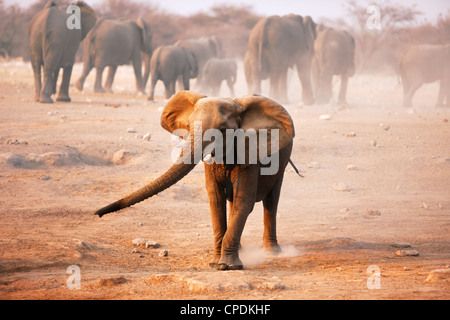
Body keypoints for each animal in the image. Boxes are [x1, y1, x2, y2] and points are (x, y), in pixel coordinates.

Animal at [95, 91, 296, 272]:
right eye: (189, 125)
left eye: (223, 130)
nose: (97, 214)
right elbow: (216, 200)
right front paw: (215, 263)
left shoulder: (250, 152)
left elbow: (243, 201)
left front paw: (228, 266)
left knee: (271, 201)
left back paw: (272, 252)